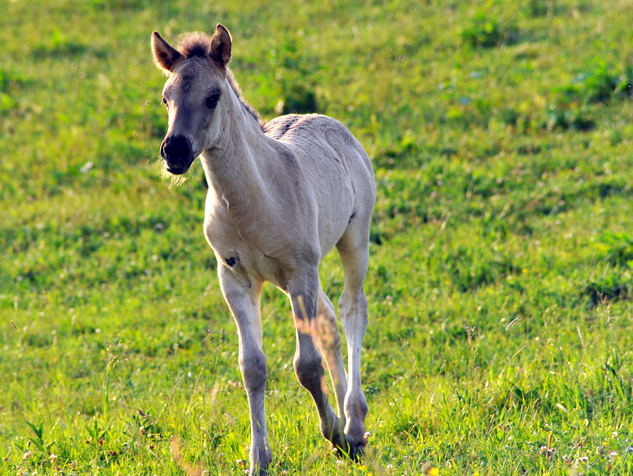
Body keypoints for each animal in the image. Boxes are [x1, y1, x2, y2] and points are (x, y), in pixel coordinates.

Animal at [151, 23, 372, 476]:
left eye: (213, 96)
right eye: (166, 97)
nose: (174, 152)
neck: (251, 203)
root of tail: (327, 120)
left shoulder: (300, 271)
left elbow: (306, 366)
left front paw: (336, 435)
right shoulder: (235, 278)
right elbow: (252, 367)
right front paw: (259, 460)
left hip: (352, 242)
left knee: (351, 309)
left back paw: (355, 423)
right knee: (328, 320)